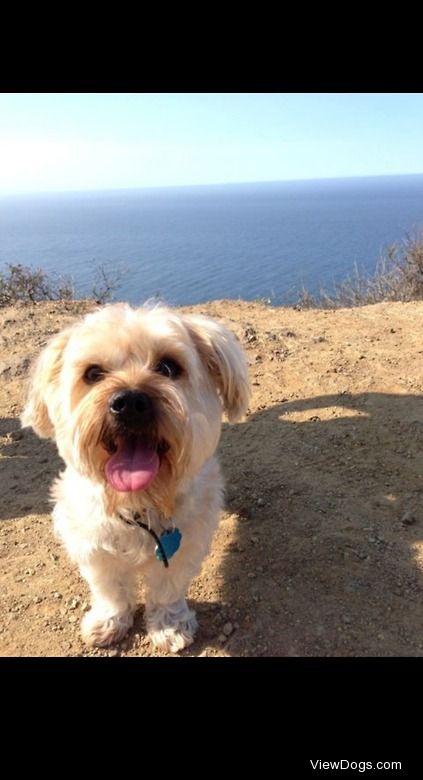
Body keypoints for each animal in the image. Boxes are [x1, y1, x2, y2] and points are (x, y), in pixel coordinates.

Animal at [21, 304, 250, 652]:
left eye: (169, 367)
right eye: (93, 373)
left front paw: (169, 625)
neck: (139, 504)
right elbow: (110, 588)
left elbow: (167, 588)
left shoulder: (182, 547)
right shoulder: (94, 546)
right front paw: (108, 621)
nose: (129, 402)